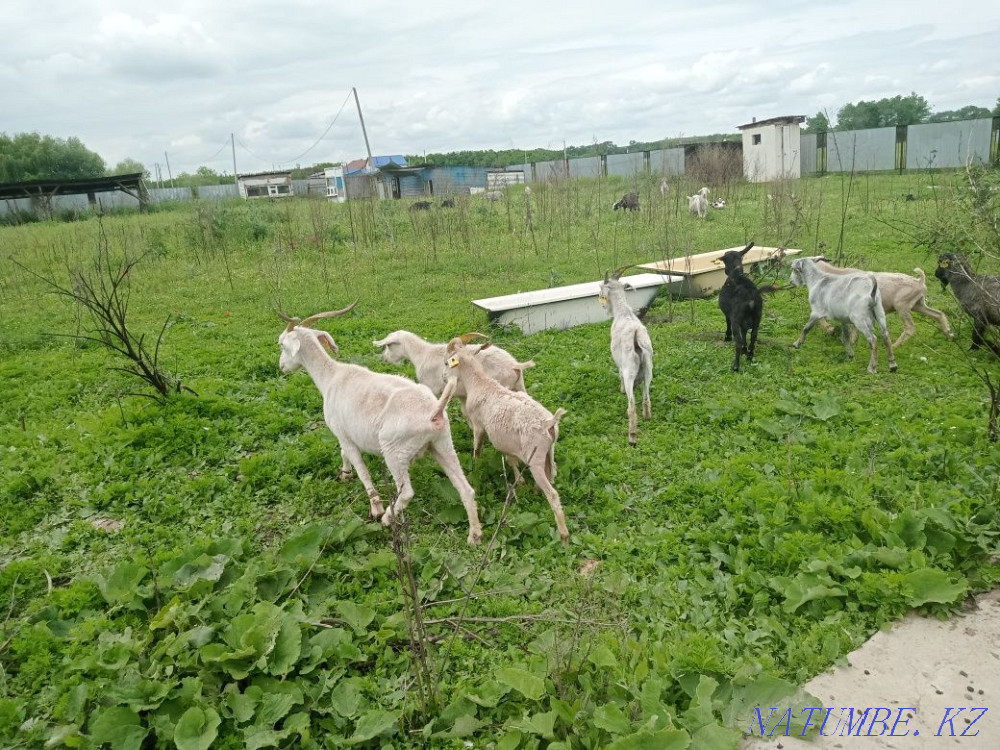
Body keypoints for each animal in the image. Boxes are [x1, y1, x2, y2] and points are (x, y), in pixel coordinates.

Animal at [278, 306, 482, 544]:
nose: (281, 366)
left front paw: (375, 508)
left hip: (394, 449)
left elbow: (361, 469)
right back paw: (475, 535)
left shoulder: (343, 433)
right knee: (466, 489)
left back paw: (387, 518)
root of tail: (434, 411)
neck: (331, 377)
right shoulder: (345, 434)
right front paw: (345, 474)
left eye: (281, 344)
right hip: (442, 444)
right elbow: (344, 453)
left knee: (407, 492)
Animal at [445, 338, 569, 543]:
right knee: (552, 473)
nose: (443, 377)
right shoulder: (504, 442)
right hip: (549, 452)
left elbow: (477, 449)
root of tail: (549, 423)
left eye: (447, 363)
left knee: (552, 494)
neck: (480, 383)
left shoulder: (478, 426)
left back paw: (564, 535)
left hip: (535, 457)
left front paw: (475, 466)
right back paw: (536, 491)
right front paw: (520, 481)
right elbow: (510, 460)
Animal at [599, 268, 654, 445]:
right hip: (648, 370)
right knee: (646, 397)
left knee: (631, 406)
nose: (604, 308)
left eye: (601, 288)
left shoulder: (620, 363)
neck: (624, 313)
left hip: (630, 370)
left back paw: (632, 437)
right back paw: (647, 417)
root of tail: (636, 339)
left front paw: (621, 390)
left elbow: (620, 376)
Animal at [717, 242, 763, 371]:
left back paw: (736, 366)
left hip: (736, 320)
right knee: (753, 335)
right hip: (757, 317)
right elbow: (744, 334)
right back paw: (750, 356)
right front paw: (745, 350)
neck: (737, 274)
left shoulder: (729, 314)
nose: (726, 271)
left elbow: (728, 324)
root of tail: (751, 299)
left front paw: (727, 337)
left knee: (738, 341)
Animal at [813, 258, 952, 348]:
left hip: (902, 305)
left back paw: (895, 345)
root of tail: (920, 281)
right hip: (918, 304)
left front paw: (838, 334)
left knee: (910, 327)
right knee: (938, 314)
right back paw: (949, 334)